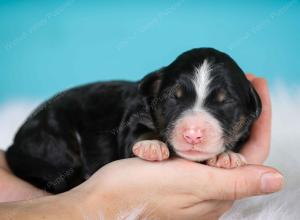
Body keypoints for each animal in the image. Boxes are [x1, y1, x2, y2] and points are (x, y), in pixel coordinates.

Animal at [5, 47, 262, 192]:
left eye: (225, 102)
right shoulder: (134, 119)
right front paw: (152, 145)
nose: (193, 134)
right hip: (55, 134)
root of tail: (15, 143)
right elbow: (139, 134)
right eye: (173, 99)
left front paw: (226, 156)